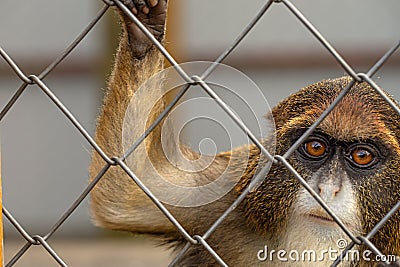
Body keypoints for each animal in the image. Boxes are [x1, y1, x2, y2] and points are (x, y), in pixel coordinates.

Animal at [89, 1, 398, 266]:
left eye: (361, 155)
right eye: (315, 148)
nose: (327, 189)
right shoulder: (235, 187)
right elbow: (124, 196)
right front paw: (144, 25)